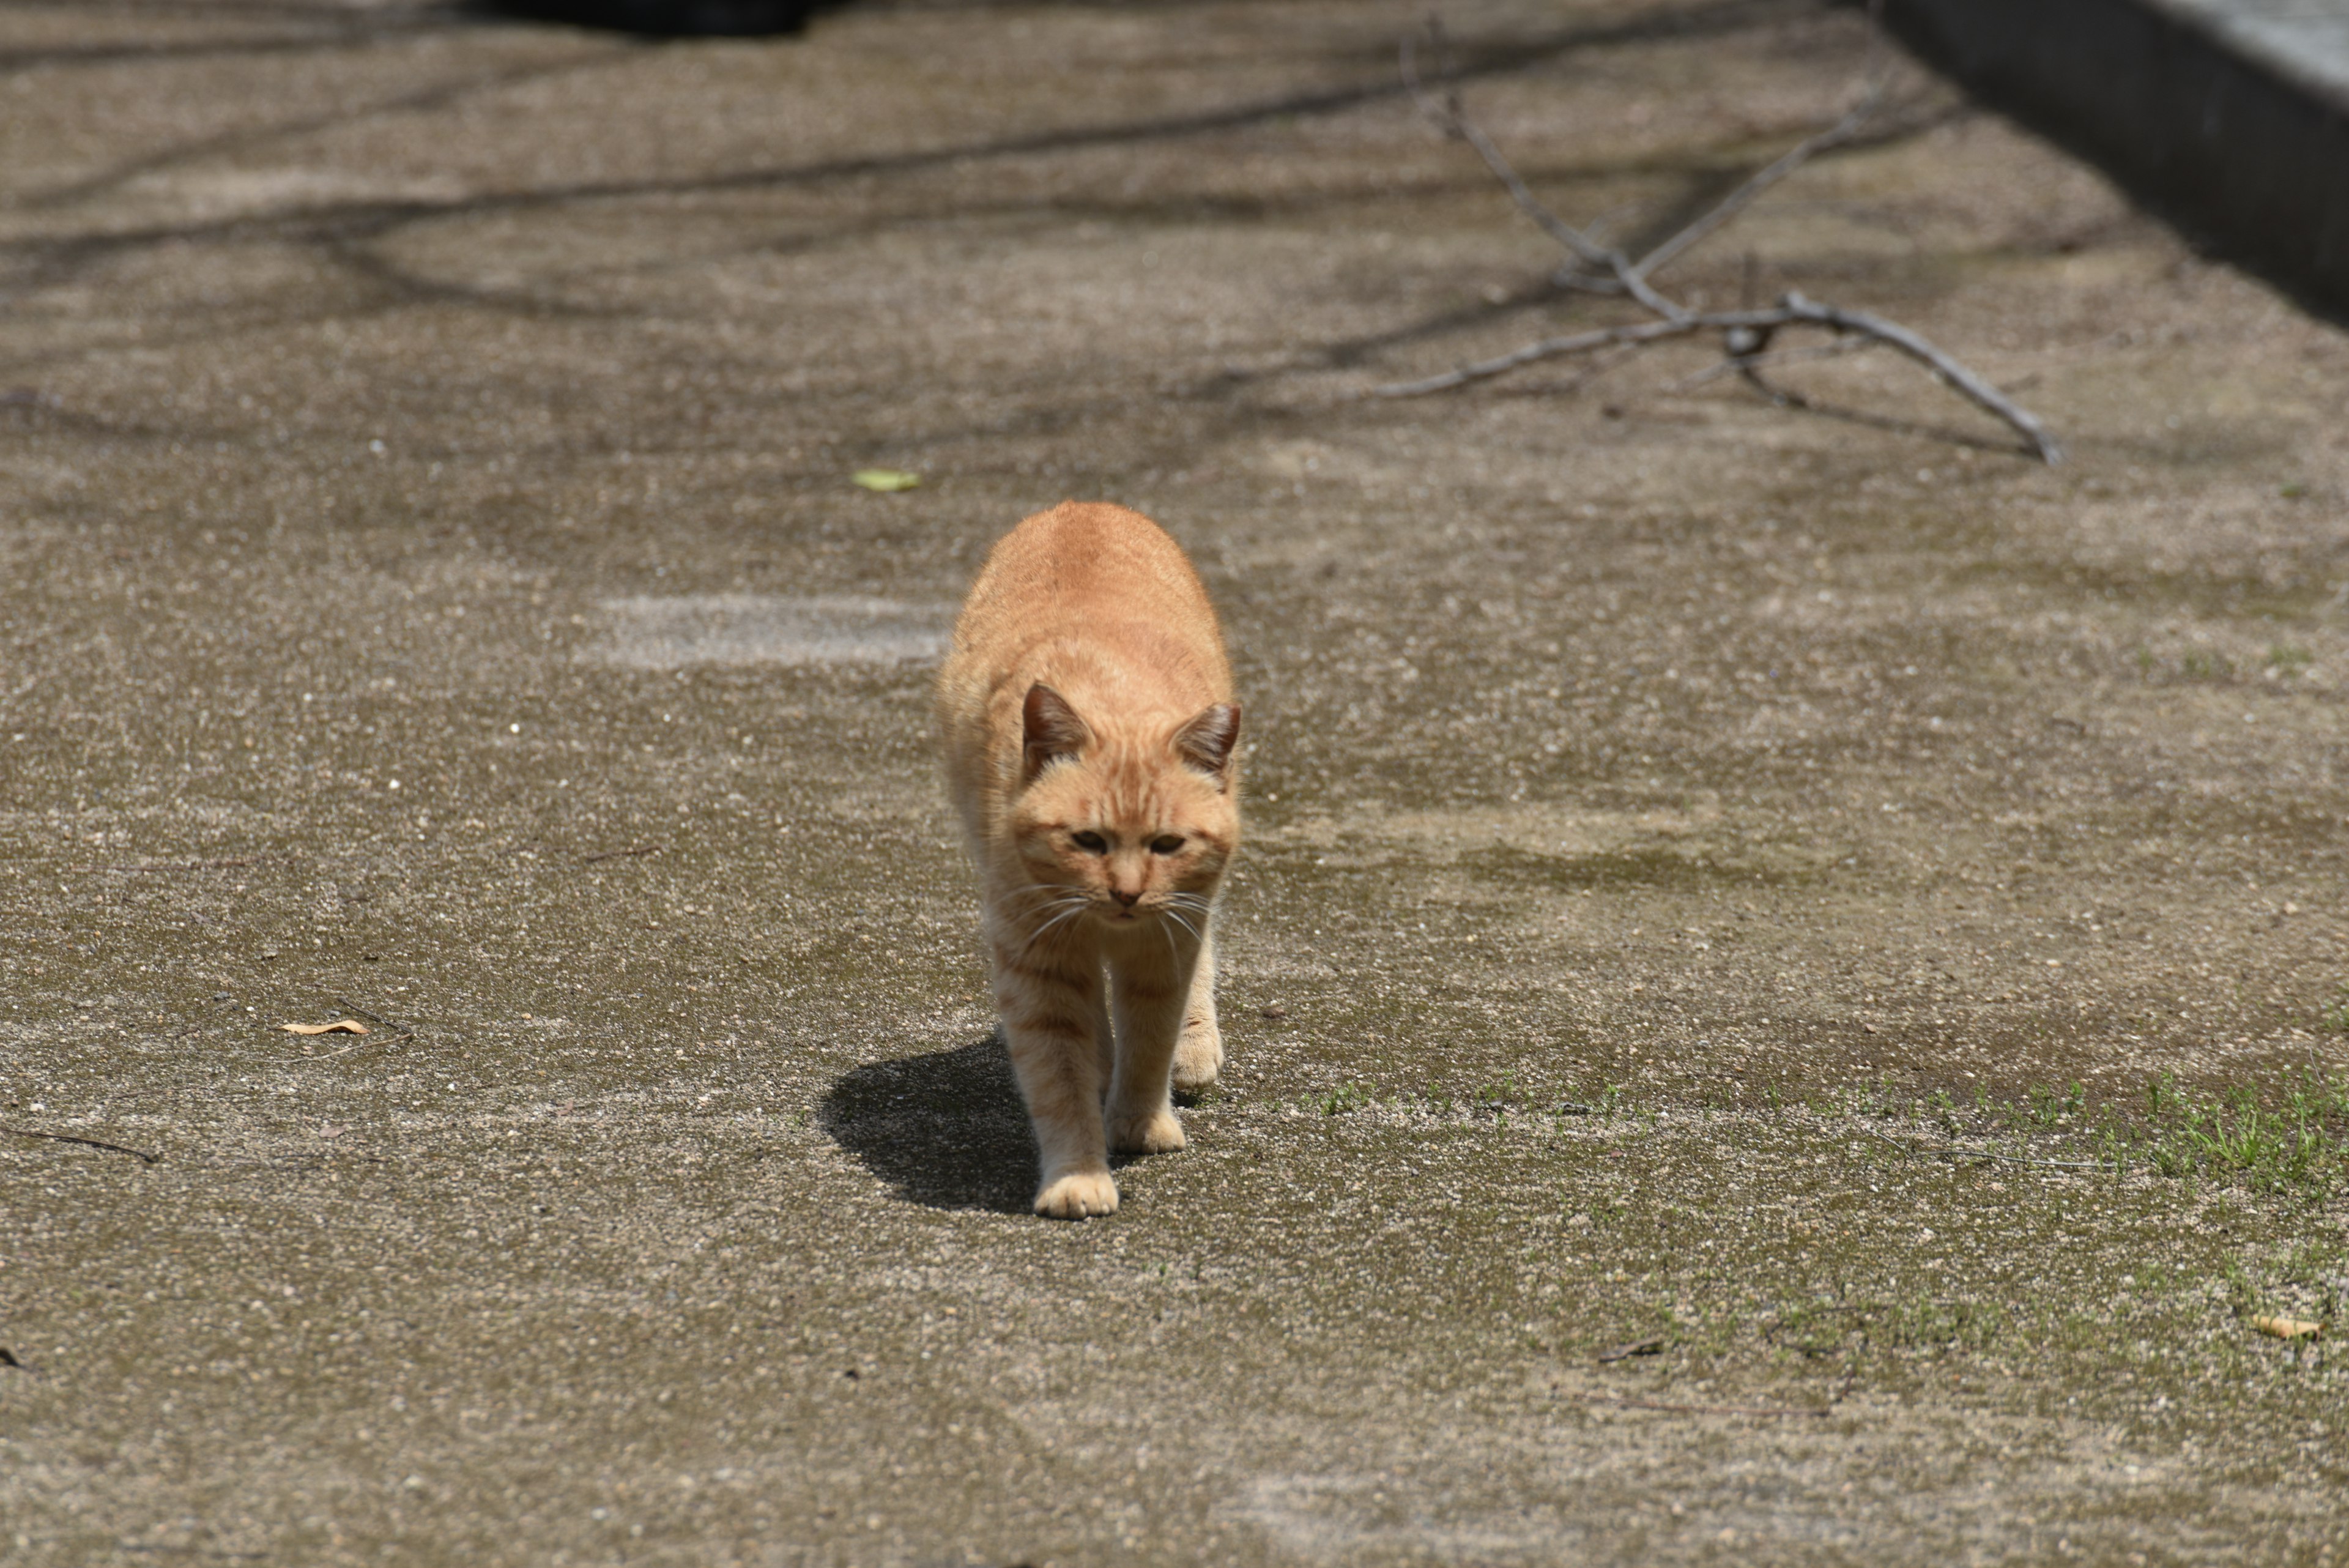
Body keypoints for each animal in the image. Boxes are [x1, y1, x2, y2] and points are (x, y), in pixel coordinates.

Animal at [935, 500, 1240, 1213]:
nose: (1126, 892)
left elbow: (1151, 1038)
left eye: (1167, 844)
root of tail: (1084, 505)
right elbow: (1060, 1075)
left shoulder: (1164, 944)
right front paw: (1079, 1173)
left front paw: (1140, 1122)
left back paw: (1193, 1051)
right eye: (1087, 841)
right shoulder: (1037, 959)